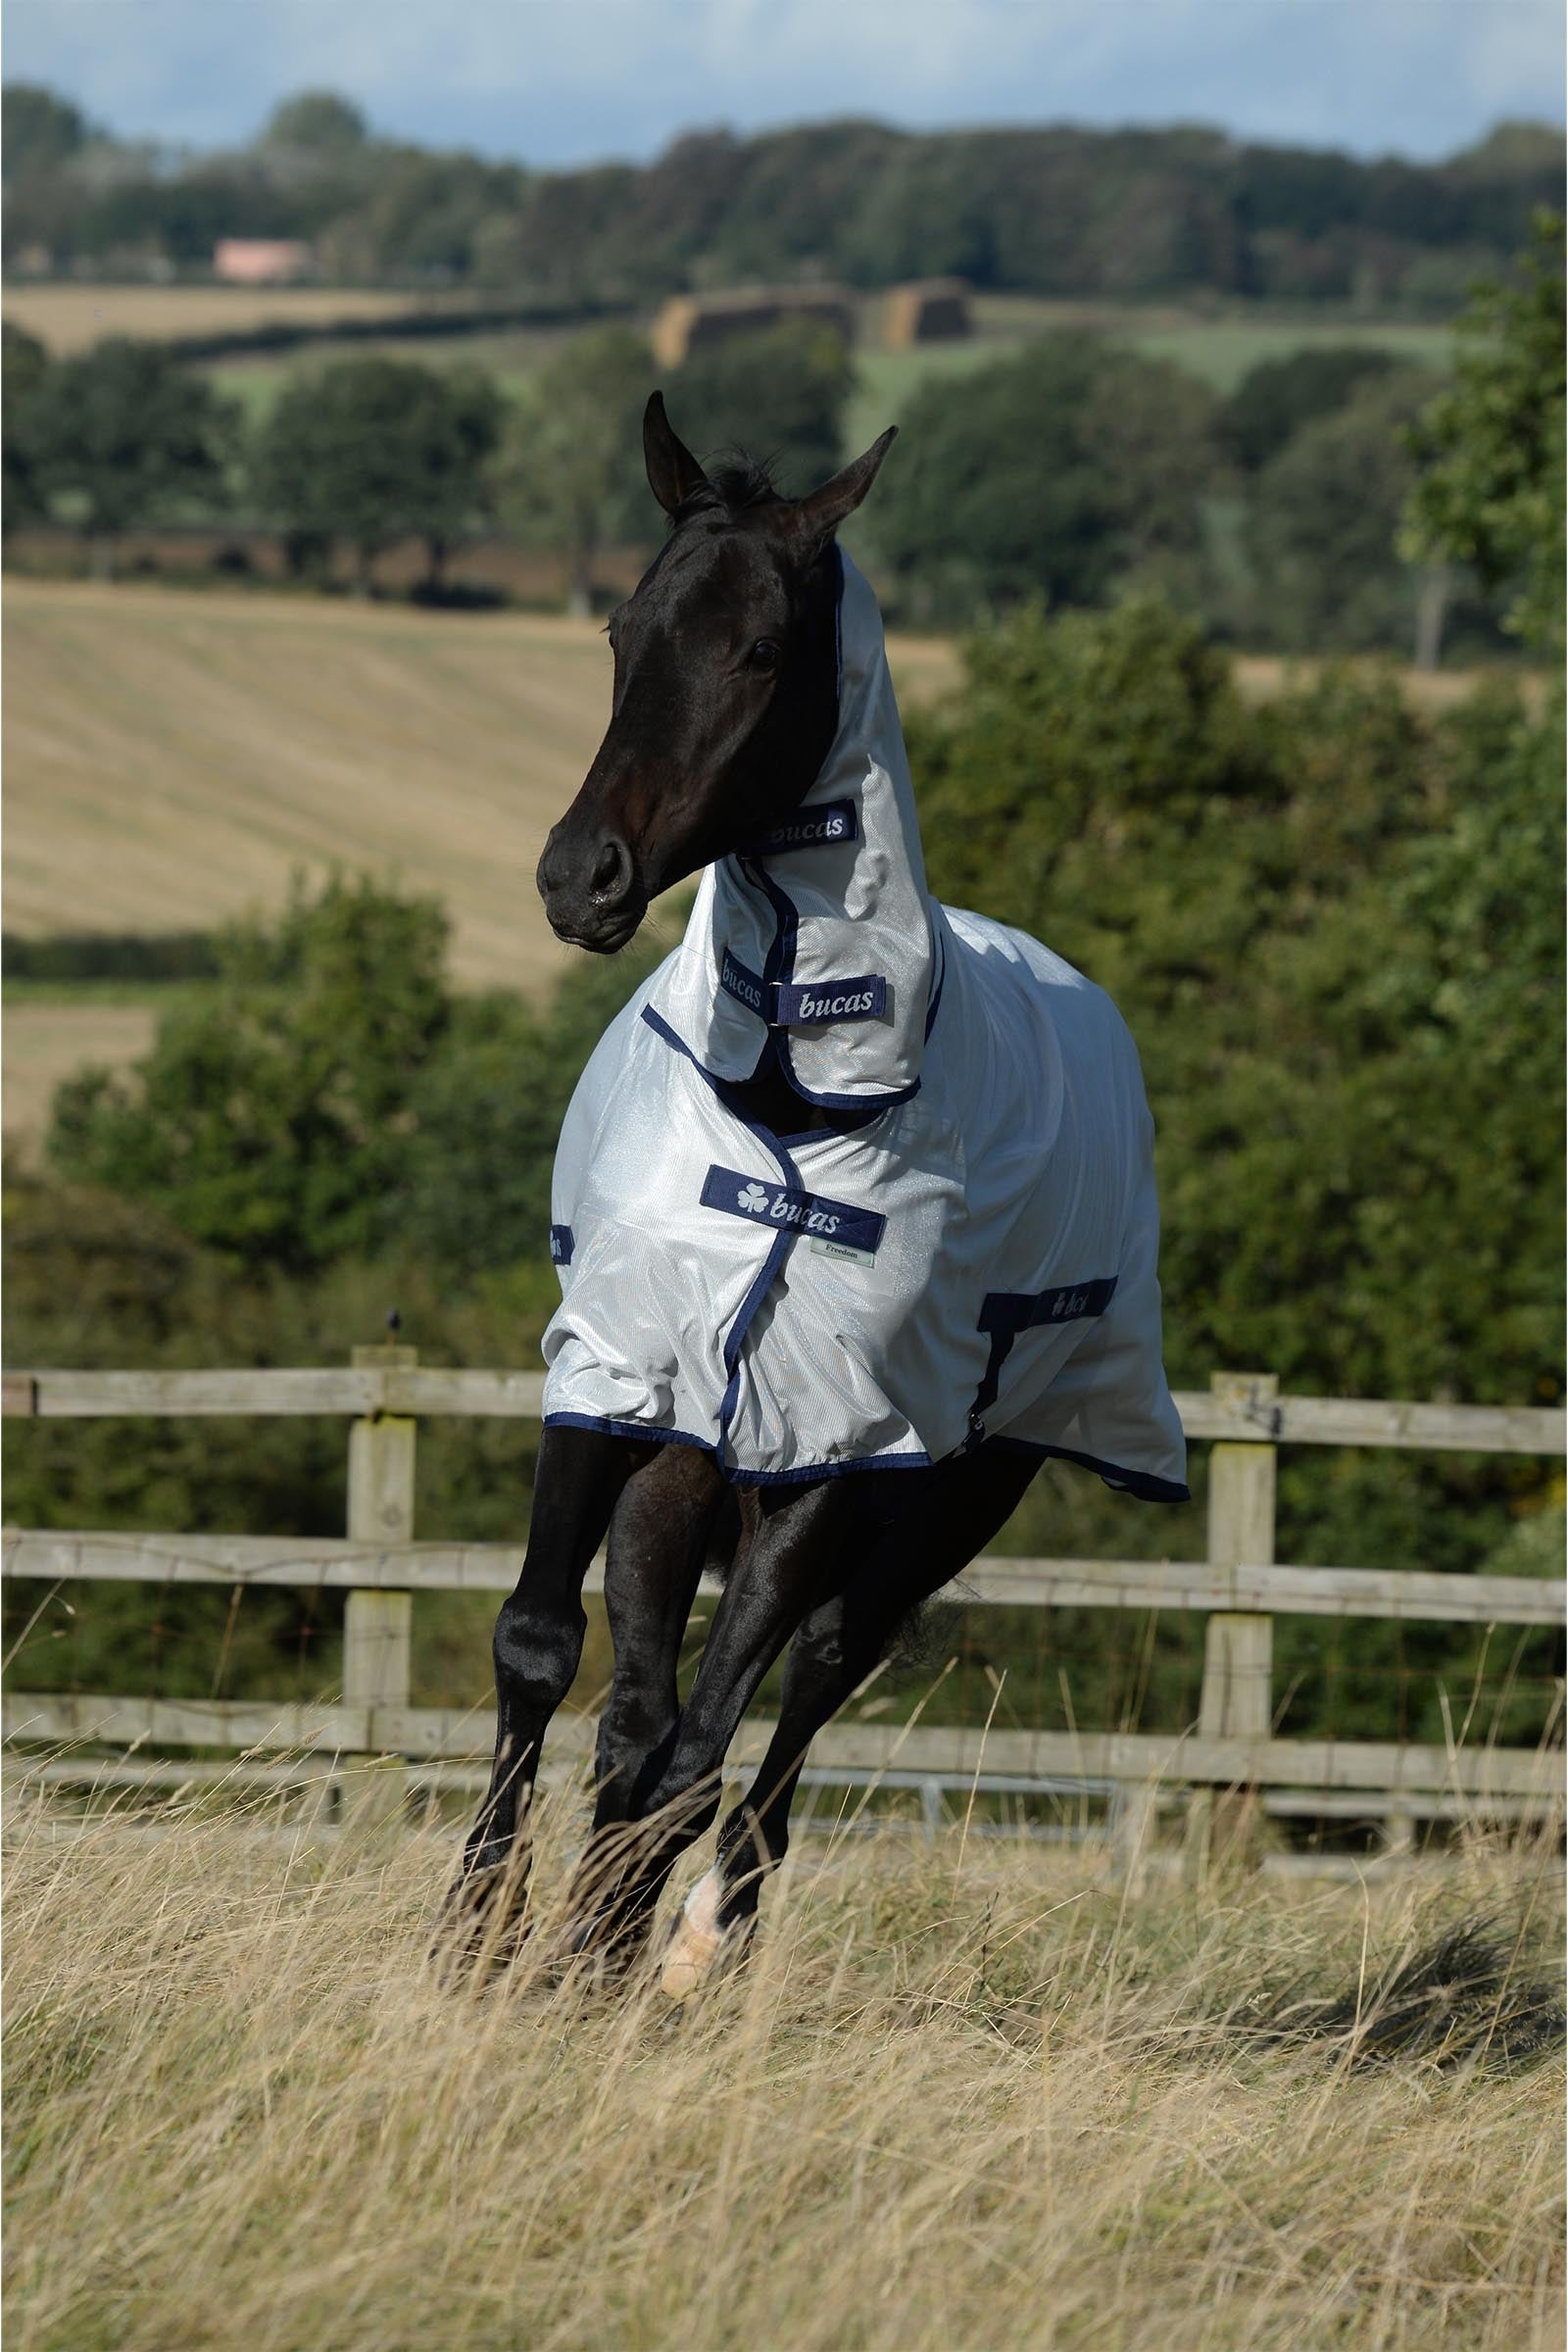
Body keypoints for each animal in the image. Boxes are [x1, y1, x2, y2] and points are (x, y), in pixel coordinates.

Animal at [441, 394, 1189, 1996]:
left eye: (761, 647)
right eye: (621, 629)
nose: (580, 875)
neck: (793, 1108)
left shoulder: (840, 1442)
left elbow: (711, 1738)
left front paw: (597, 1951)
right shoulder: (617, 1379)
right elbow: (549, 1653)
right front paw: (479, 1940)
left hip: (954, 1489)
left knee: (797, 1702)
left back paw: (694, 1942)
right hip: (695, 1463)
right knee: (647, 1714)